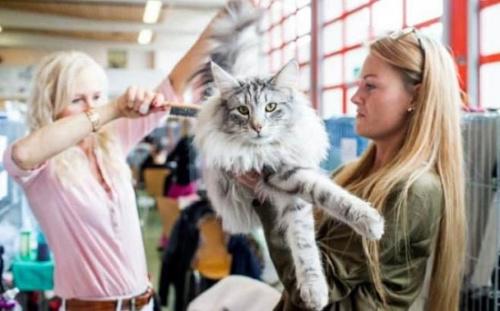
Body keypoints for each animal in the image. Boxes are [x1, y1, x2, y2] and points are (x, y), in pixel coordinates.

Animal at [193, 1, 384, 310]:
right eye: (243, 111)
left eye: (270, 108)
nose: (258, 127)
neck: (263, 153)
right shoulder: (277, 179)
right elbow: (304, 246)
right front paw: (315, 292)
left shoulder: (290, 176)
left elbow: (325, 203)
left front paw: (369, 221)